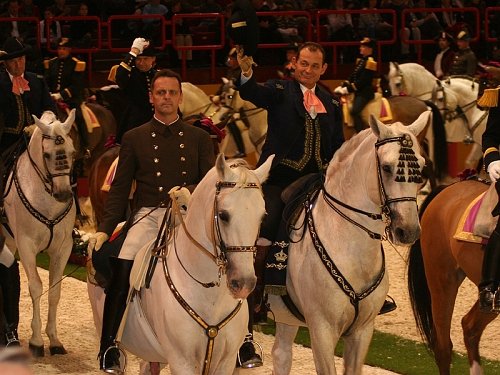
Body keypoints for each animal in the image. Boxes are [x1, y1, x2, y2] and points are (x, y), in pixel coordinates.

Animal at [2, 110, 76, 356]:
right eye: (46, 154)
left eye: (73, 152)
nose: (63, 194)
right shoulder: (26, 245)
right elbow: (36, 286)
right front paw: (36, 341)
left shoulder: (63, 248)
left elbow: (54, 291)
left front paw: (54, 339)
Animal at [268, 112, 428, 375]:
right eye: (386, 167)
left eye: (422, 168)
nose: (408, 231)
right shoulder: (322, 331)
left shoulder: (362, 331)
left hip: (285, 317)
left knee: (281, 355)